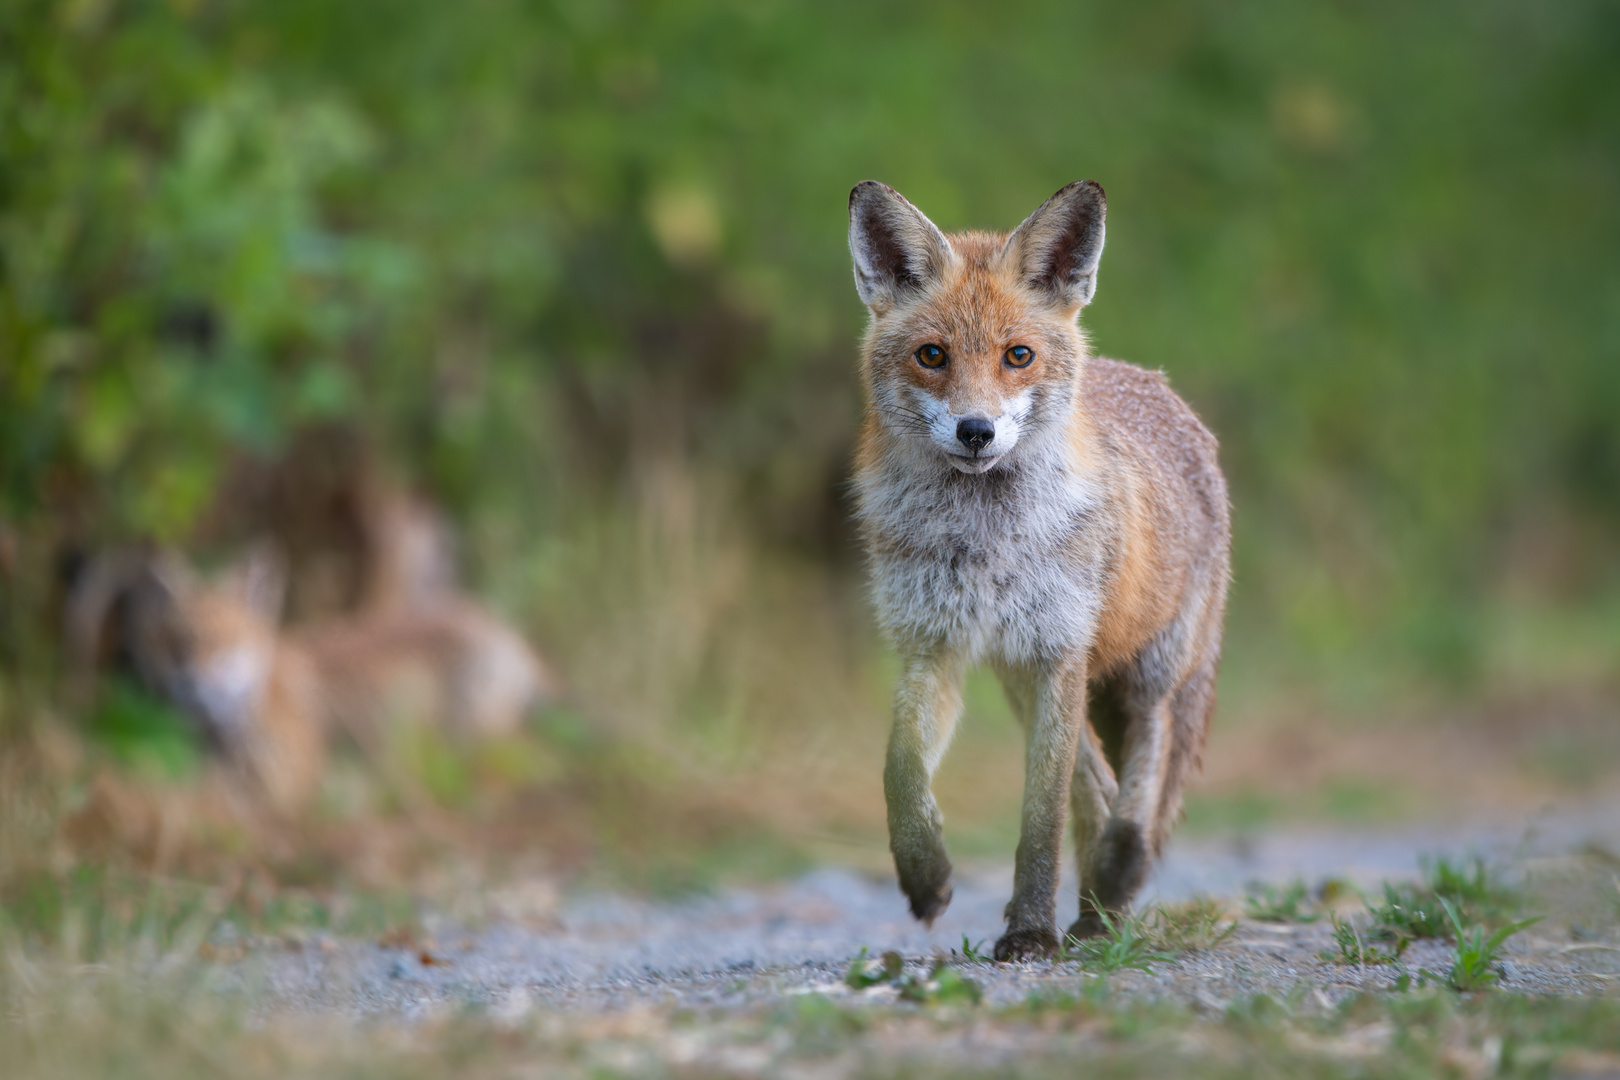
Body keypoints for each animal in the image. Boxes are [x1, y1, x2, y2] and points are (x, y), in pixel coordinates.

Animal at [848, 179, 1224, 965]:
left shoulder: (1059, 650)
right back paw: (1098, 908)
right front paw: (925, 875)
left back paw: (1117, 873)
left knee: (1145, 762)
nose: (976, 431)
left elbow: (1040, 816)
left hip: (1148, 668)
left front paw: (1028, 931)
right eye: (932, 355)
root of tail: (1154, 383)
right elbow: (900, 771)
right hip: (1022, 678)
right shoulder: (936, 648)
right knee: (1097, 780)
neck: (985, 543)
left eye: (1017, 355)